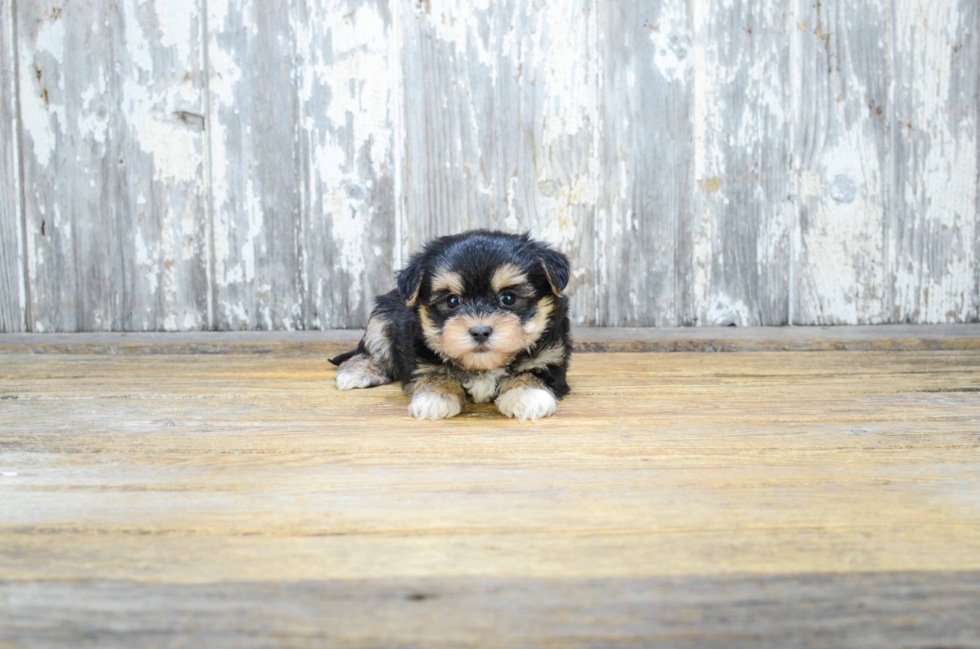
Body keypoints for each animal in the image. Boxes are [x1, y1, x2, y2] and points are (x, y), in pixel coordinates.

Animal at [332, 230, 576, 422]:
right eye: (452, 301)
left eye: (508, 298)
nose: (480, 331)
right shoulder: (418, 357)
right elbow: (435, 373)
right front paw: (434, 396)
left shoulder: (551, 356)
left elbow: (532, 372)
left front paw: (528, 395)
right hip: (383, 313)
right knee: (373, 348)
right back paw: (357, 371)